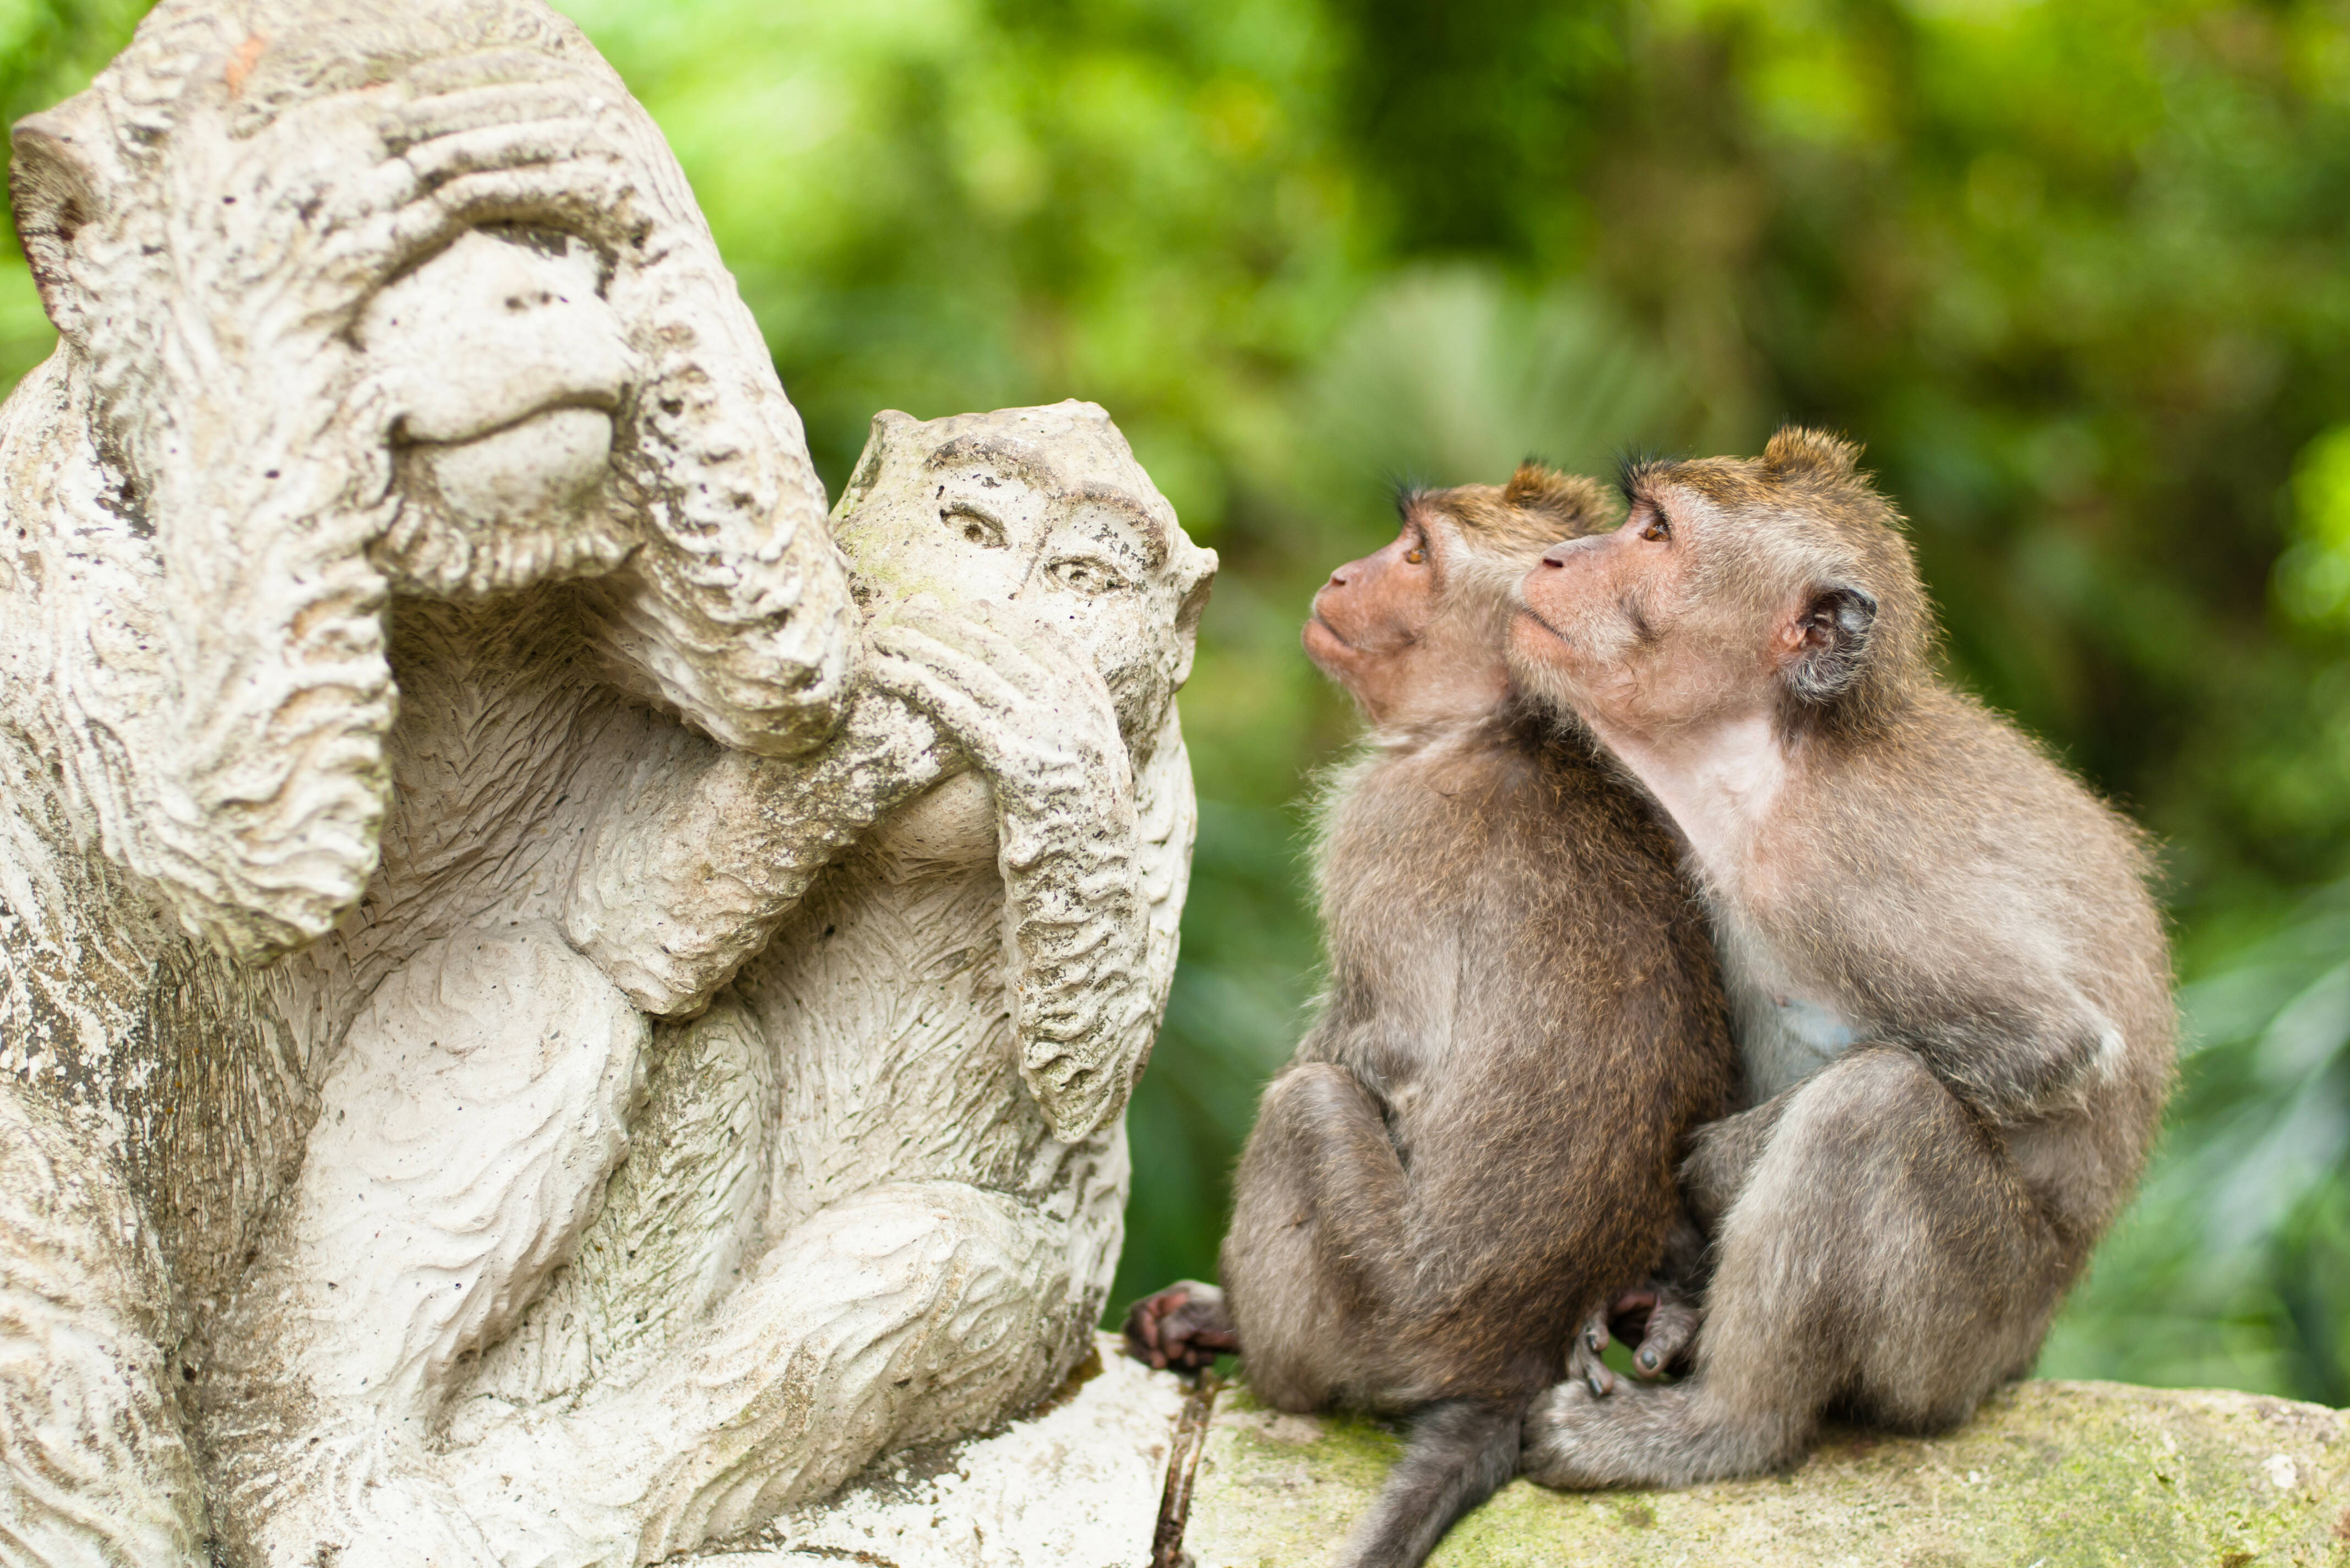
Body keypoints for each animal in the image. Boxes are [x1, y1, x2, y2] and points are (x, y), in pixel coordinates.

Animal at [1125, 466, 1737, 1568]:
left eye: (1414, 555)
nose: (1341, 573)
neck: (1498, 723)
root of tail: (1505, 1366)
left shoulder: (1384, 819)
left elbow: (1385, 1047)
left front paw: (1213, 1303)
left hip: (1379, 1311)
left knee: (1308, 1105)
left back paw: (1255, 1347)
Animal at [1506, 427, 2175, 1489]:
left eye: (1653, 533)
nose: (1558, 558)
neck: (1770, 759)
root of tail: (2021, 1352)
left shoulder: (1834, 867)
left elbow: (2050, 1045)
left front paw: (1709, 1170)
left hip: (1963, 1331)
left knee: (1873, 1110)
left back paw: (1720, 1426)